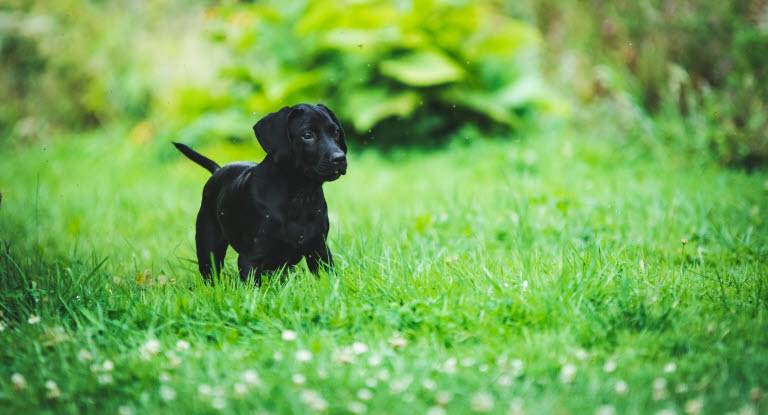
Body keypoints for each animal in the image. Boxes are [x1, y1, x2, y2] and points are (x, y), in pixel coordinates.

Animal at [174, 104, 348, 286]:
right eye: (307, 135)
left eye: (336, 132)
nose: (340, 158)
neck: (300, 196)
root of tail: (217, 170)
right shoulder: (251, 258)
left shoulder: (319, 250)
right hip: (208, 247)